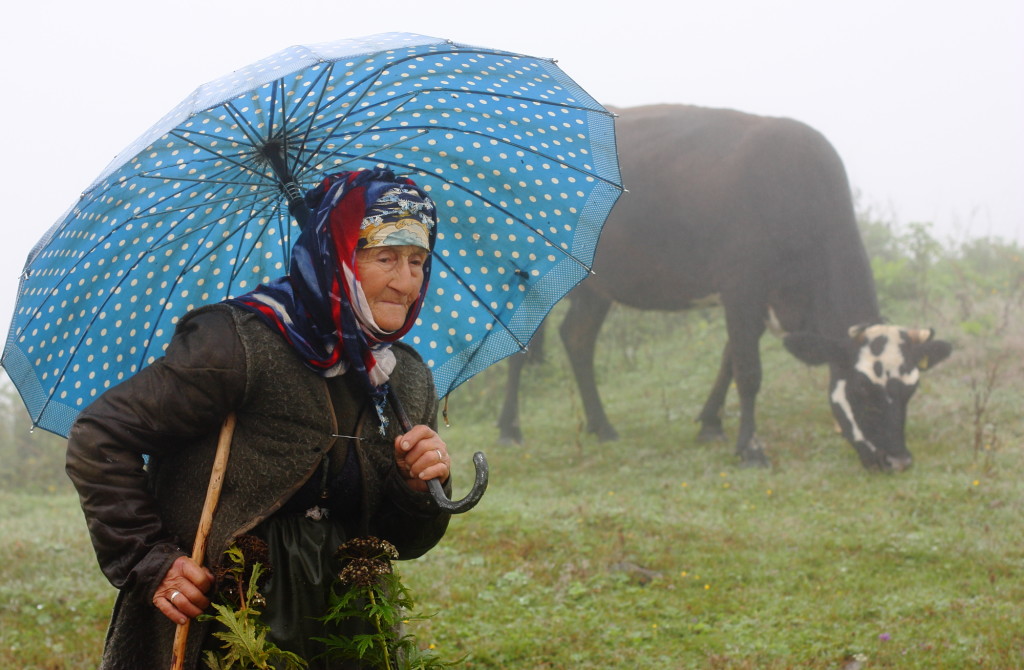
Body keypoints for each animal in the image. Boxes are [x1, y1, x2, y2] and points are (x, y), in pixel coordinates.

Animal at [495, 103, 950, 473]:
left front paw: (711, 425)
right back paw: (510, 430)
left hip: (595, 284)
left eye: (911, 390)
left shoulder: (757, 301)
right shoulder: (742, 287)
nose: (898, 461)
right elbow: (749, 372)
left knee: (577, 338)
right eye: (862, 389)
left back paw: (601, 426)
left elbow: (729, 361)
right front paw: (751, 449)